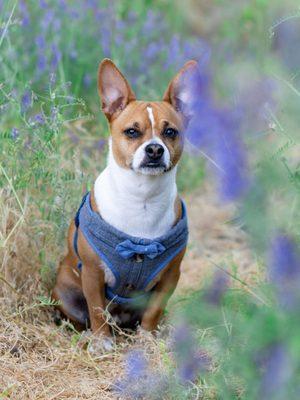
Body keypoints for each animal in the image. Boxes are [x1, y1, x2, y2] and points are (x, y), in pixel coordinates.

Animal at [52, 57, 197, 352]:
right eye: (131, 132)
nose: (154, 149)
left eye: (170, 132)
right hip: (65, 292)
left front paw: (147, 339)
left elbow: (154, 311)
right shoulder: (92, 273)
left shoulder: (170, 277)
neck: (143, 198)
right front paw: (101, 342)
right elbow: (96, 308)